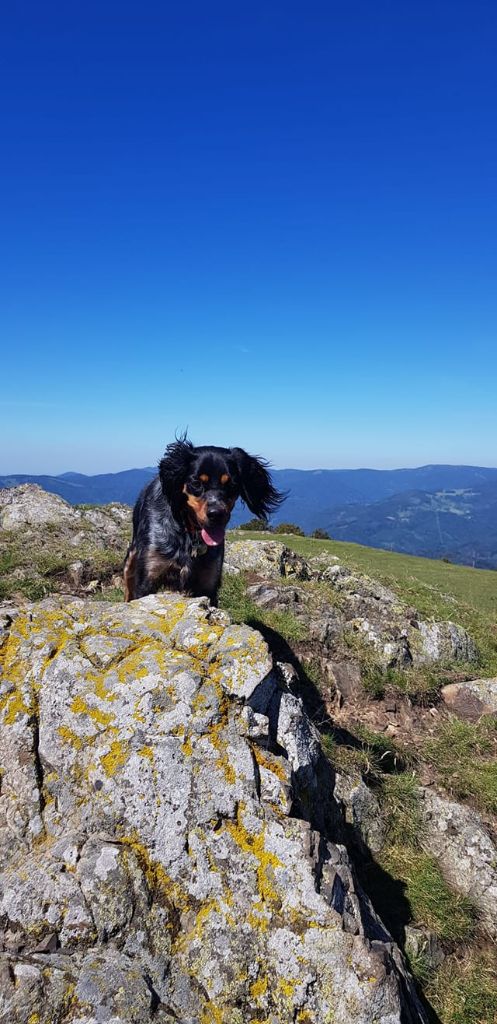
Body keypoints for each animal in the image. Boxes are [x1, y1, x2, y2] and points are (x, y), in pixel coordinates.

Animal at [122, 436, 284, 602]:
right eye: (196, 483)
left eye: (231, 484)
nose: (216, 514)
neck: (188, 533)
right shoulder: (148, 576)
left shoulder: (208, 583)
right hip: (131, 560)